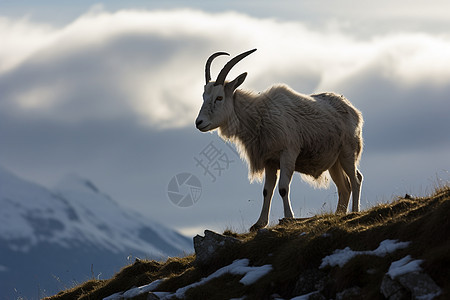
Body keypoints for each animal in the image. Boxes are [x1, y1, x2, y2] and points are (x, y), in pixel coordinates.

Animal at [195, 49, 364, 232]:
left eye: (219, 97)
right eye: (204, 96)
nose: (199, 122)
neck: (260, 114)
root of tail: (353, 111)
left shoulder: (288, 153)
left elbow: (283, 188)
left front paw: (288, 218)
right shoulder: (270, 161)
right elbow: (267, 190)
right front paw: (259, 223)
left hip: (347, 152)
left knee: (356, 179)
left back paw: (354, 212)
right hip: (334, 162)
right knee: (344, 186)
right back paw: (339, 214)